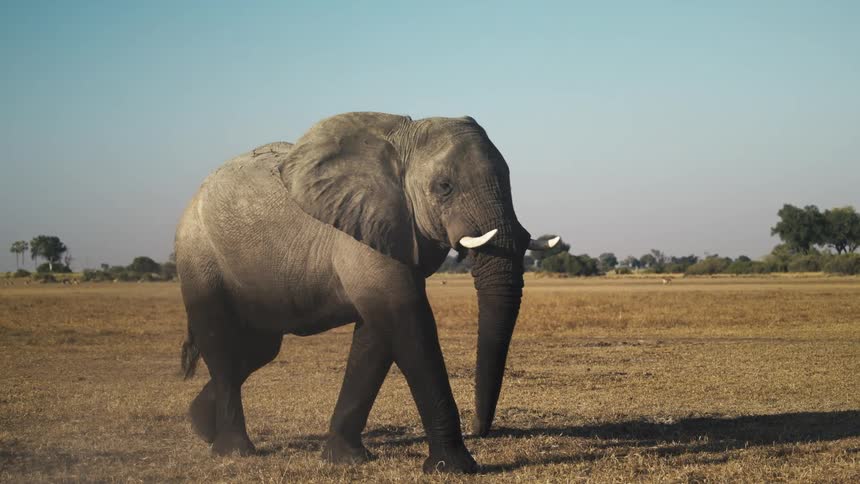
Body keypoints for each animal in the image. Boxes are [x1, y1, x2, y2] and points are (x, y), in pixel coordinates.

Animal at [175, 112, 559, 473]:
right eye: (444, 187)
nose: (480, 429)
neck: (402, 142)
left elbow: (376, 336)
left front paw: (345, 458)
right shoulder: (360, 231)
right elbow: (408, 323)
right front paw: (453, 467)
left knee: (258, 349)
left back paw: (200, 426)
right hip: (198, 255)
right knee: (221, 344)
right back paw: (232, 450)